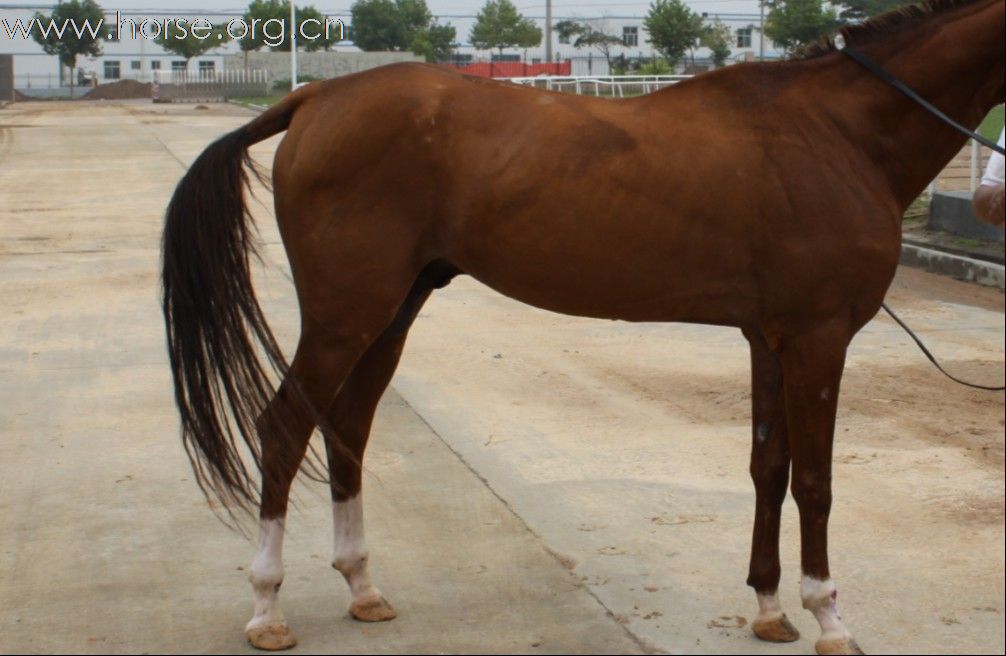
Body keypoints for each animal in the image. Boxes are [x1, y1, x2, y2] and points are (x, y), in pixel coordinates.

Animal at [160, 2, 1001, 651]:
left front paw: (767, 608)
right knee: (282, 429)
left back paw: (362, 587)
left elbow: (770, 468)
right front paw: (828, 616)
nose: (990, 204)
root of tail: (314, 100)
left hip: (389, 314)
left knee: (347, 430)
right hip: (346, 315)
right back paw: (267, 608)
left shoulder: (771, 339)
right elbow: (817, 482)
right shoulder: (818, 340)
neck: (836, 130)